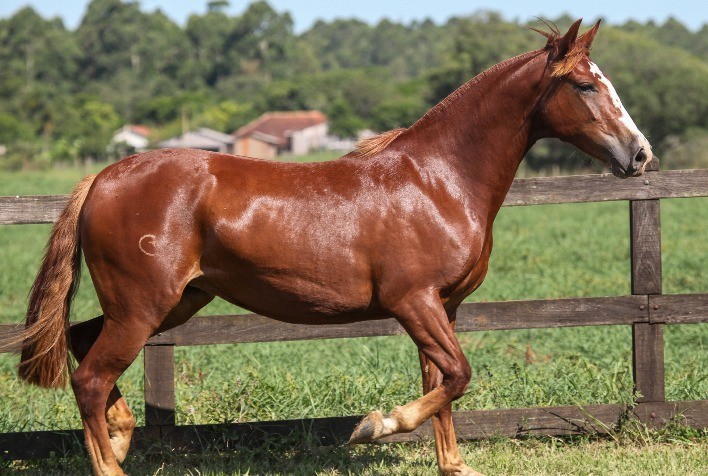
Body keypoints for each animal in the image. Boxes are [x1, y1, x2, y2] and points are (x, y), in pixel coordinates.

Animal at [16, 20, 648, 476]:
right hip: (143, 307)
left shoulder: (442, 307)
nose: (639, 154)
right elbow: (458, 375)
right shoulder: (413, 301)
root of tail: (102, 178)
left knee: (82, 348)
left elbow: (441, 383)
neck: (438, 181)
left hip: (170, 303)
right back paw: (112, 461)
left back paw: (121, 438)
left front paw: (451, 463)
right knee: (89, 378)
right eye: (585, 85)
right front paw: (374, 426)